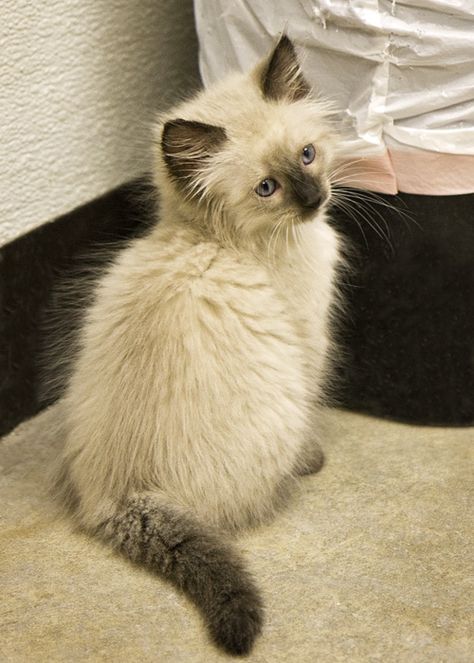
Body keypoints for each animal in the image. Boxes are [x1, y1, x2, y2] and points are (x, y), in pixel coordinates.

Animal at [56, 35, 344, 652]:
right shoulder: (307, 342)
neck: (213, 240)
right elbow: (311, 418)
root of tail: (122, 498)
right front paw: (312, 460)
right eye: (267, 189)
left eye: (308, 155)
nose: (315, 199)